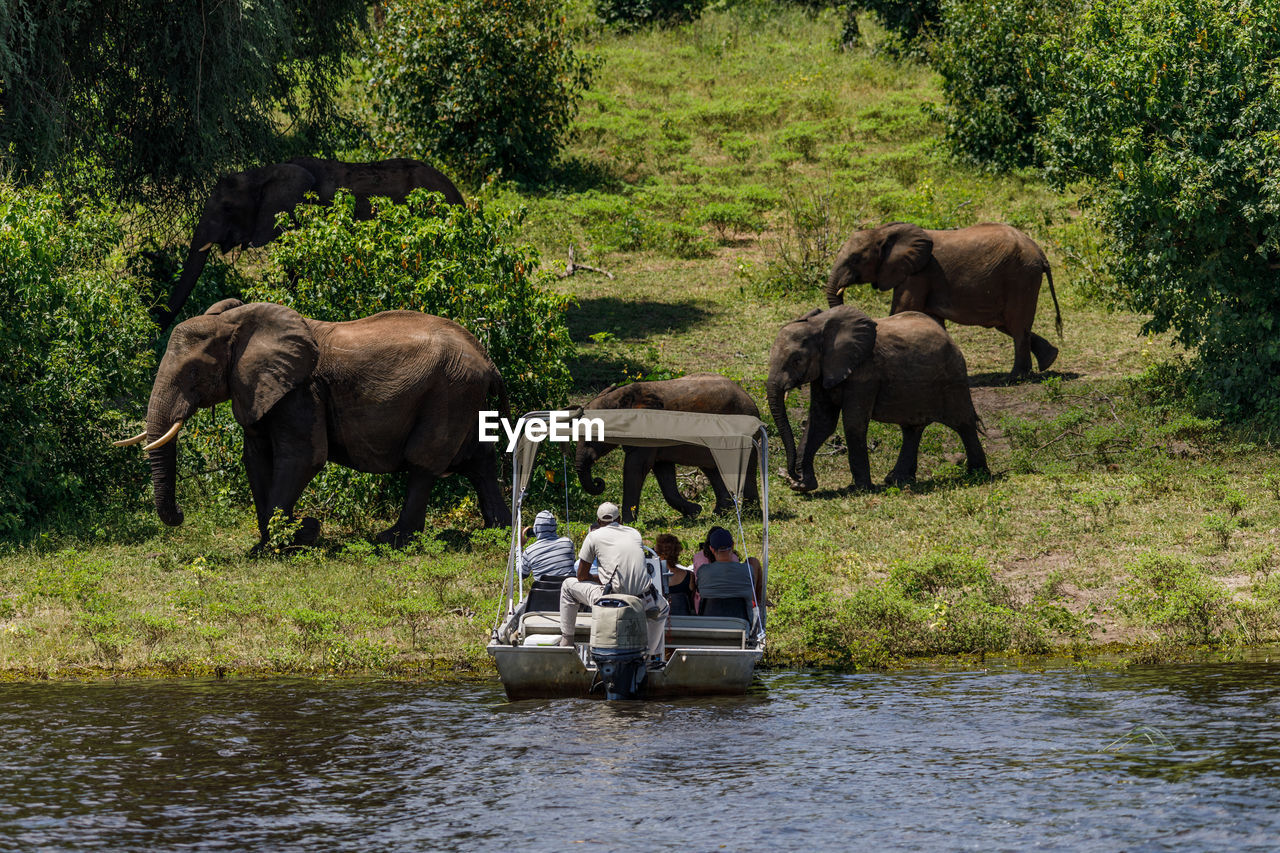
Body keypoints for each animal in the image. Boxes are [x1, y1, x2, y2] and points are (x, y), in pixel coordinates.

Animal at [117, 298, 509, 548]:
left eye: (194, 372)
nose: (181, 514)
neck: (234, 323)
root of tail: (488, 361)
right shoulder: (258, 388)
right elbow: (257, 458)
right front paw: (279, 539)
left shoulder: (301, 390)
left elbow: (302, 457)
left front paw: (292, 537)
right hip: (463, 396)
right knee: (479, 459)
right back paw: (499, 530)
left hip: (450, 392)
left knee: (424, 461)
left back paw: (393, 539)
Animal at [578, 373, 757, 522]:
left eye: (591, 437)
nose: (598, 482)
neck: (618, 399)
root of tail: (749, 398)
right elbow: (663, 472)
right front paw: (695, 512)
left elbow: (636, 467)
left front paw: (627, 523)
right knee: (711, 469)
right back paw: (720, 514)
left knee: (747, 468)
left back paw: (749, 515)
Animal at [762, 306, 983, 491]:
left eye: (797, 360)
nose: (792, 476)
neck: (819, 326)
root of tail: (950, 337)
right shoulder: (824, 372)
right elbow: (821, 422)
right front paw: (803, 487)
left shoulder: (865, 373)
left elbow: (853, 423)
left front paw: (860, 489)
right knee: (912, 429)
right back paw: (897, 480)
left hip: (953, 376)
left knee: (963, 423)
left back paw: (977, 475)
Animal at [824, 220, 1064, 376]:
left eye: (855, 259)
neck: (882, 232)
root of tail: (1040, 252)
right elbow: (930, 319)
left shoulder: (919, 273)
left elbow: (902, 311)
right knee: (1009, 324)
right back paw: (1049, 360)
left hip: (1021, 277)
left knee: (1016, 325)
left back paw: (1015, 377)